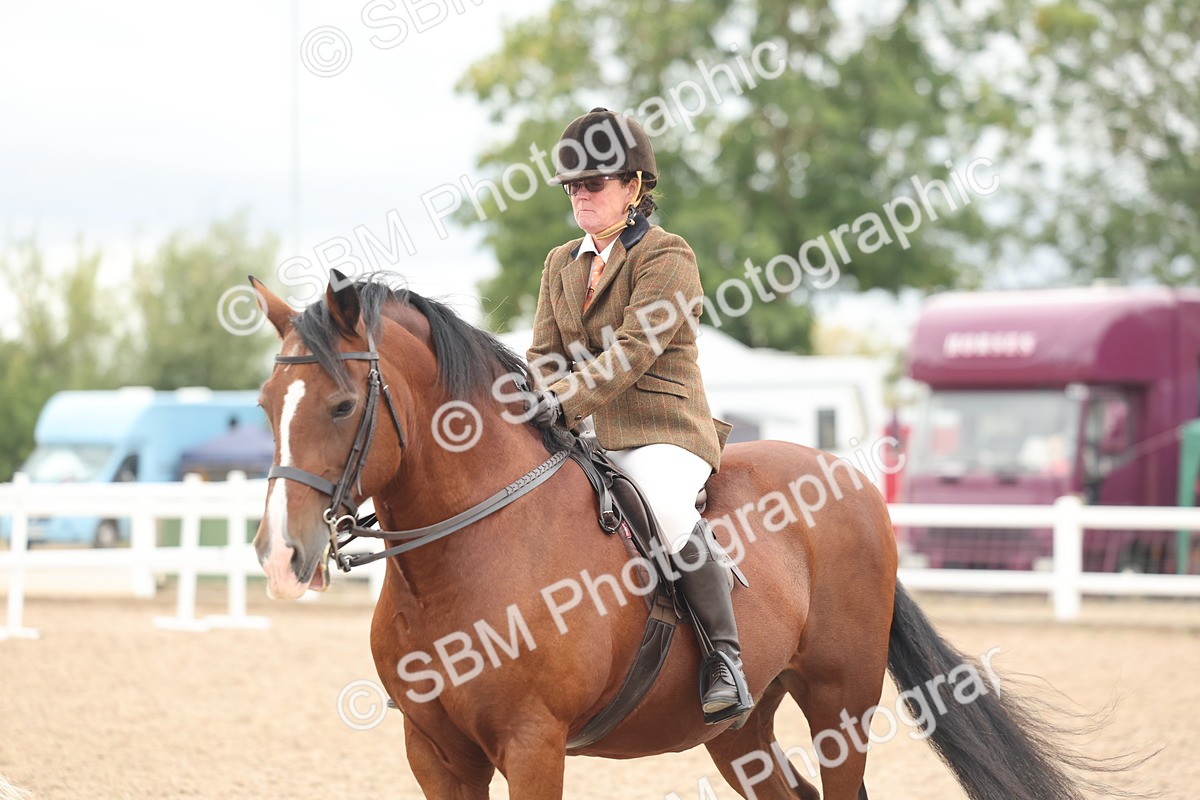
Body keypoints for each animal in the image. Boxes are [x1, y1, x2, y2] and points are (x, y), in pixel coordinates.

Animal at [249, 271, 1123, 800]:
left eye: (340, 405)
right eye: (263, 404)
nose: (282, 556)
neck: (463, 557)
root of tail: (845, 483)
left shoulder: (533, 745)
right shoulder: (435, 753)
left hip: (840, 701)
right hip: (741, 730)